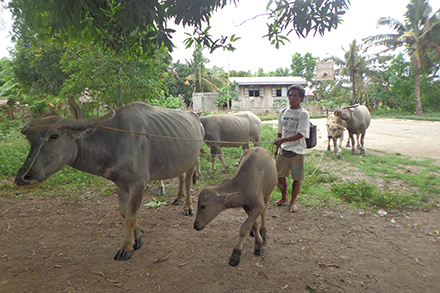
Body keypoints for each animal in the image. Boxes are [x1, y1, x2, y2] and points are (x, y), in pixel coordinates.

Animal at [15, 102, 205, 260]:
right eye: (29, 140)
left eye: (54, 136)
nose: (23, 176)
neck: (113, 141)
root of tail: (196, 118)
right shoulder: (121, 184)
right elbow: (124, 213)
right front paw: (138, 236)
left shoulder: (138, 184)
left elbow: (131, 216)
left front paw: (126, 247)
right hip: (180, 161)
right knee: (180, 177)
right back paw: (178, 198)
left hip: (193, 160)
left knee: (188, 182)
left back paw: (188, 207)